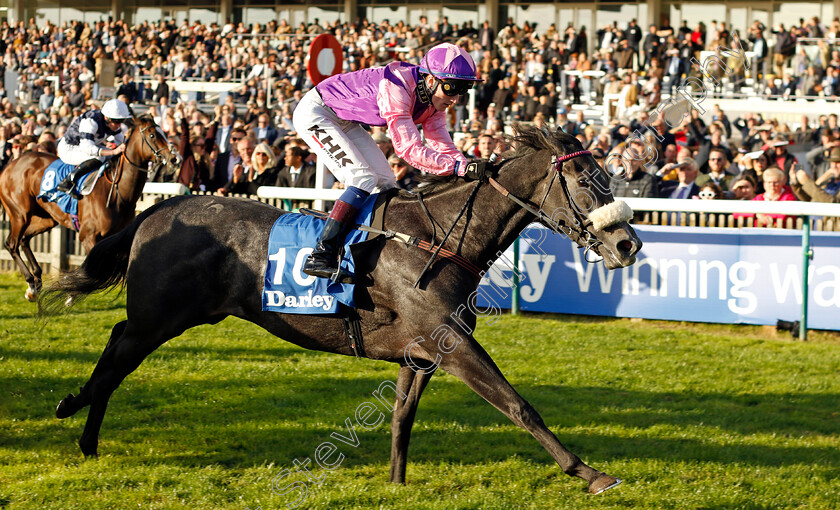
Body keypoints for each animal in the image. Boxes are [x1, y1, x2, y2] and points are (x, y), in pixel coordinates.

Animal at [0, 116, 179, 298]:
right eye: (152, 135)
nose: (174, 158)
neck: (118, 192)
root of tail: (10, 164)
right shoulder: (88, 236)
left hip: (46, 219)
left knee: (24, 239)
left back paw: (35, 282)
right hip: (20, 214)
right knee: (11, 244)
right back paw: (30, 280)